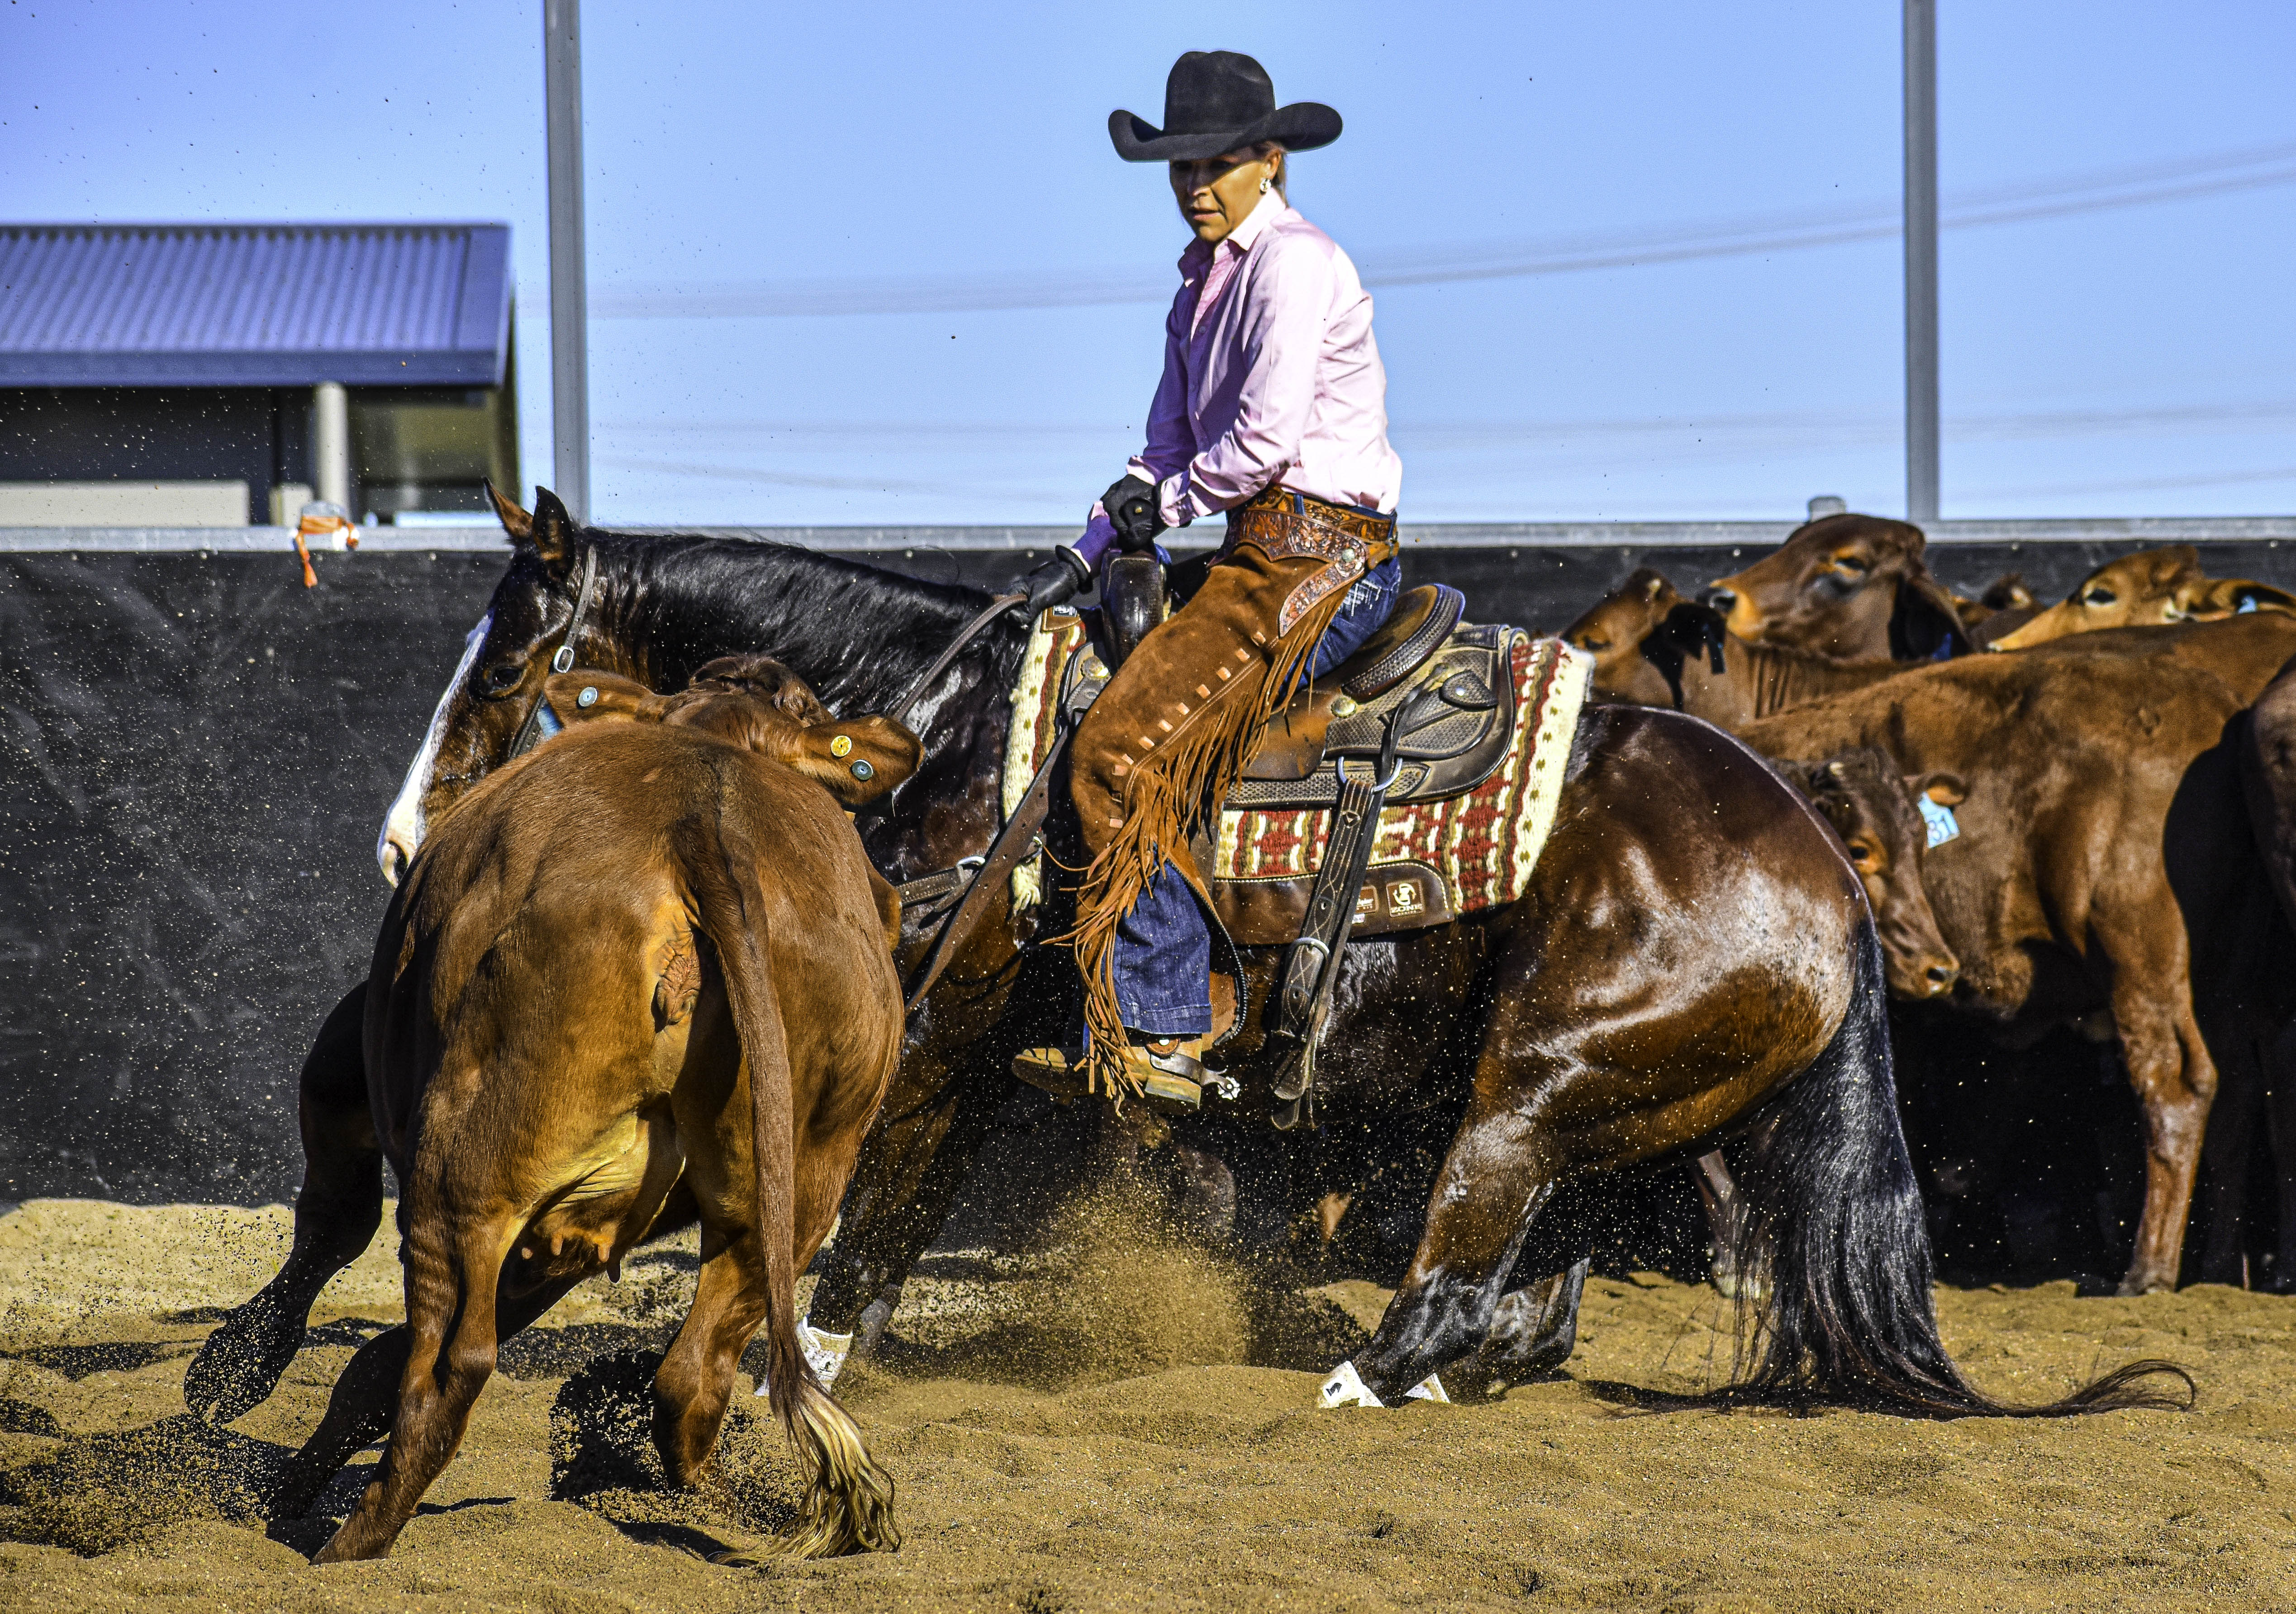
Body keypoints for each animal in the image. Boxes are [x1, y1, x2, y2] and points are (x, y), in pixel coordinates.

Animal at [191, 487, 2186, 1427]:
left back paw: (1367, 1373)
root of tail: (1824, 878)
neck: (938, 728)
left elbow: (868, 1209)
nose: (403, 843)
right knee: (1531, 1285)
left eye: (509, 669)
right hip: (1610, 1098)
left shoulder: (936, 1027)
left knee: (1466, 1264)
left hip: (1533, 1084)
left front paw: (788, 1357)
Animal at [284, 654, 920, 1562]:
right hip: (800, 1184)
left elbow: (334, 1220)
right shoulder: (576, 1235)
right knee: (691, 1378)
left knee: (450, 1364)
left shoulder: (355, 1055)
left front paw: (232, 1381)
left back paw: (348, 1546)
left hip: (468, 1164)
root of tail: (705, 827)